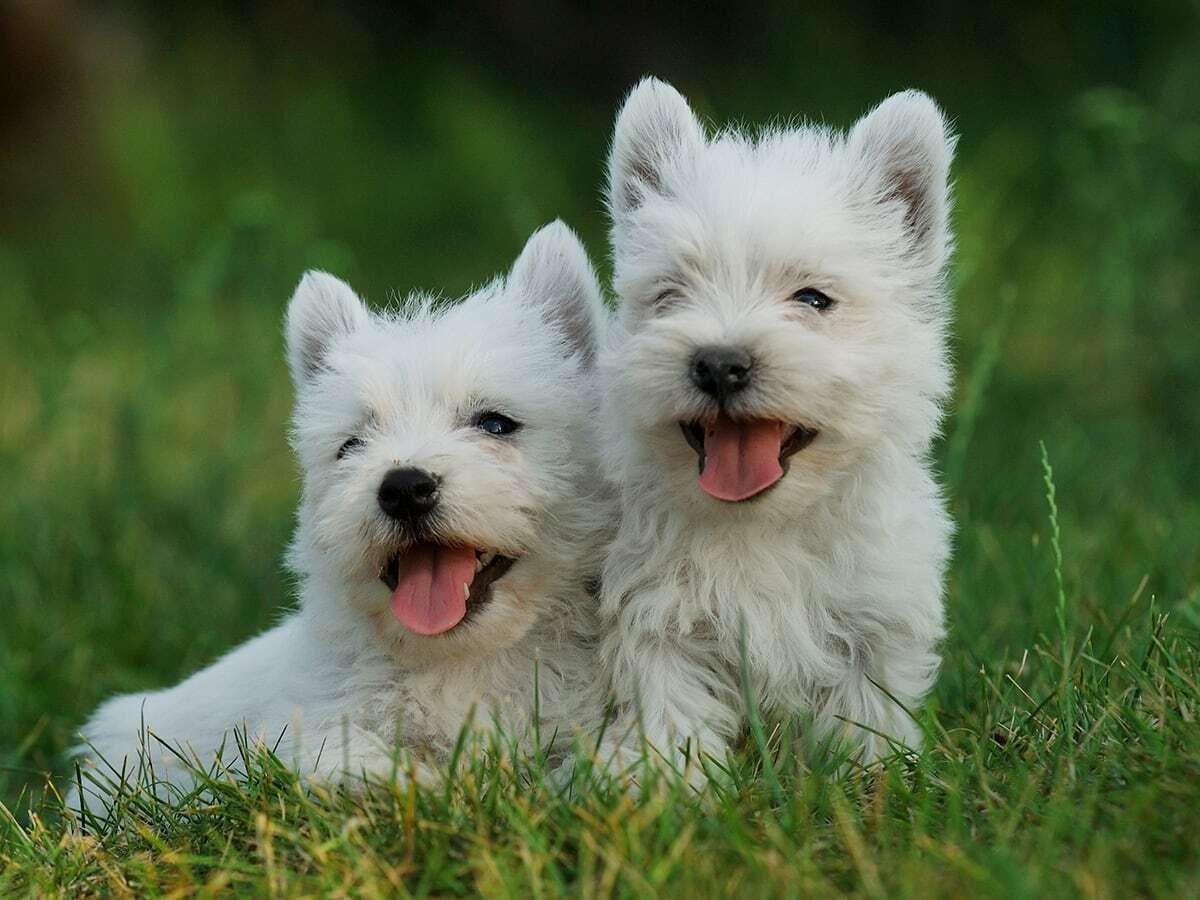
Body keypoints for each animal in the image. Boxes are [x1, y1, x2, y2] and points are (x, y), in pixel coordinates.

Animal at [75, 222, 609, 806]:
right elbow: (358, 764)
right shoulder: (314, 734)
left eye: (495, 424)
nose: (403, 489)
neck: (461, 661)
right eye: (351, 445)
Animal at [597, 79, 955, 782]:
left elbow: (864, 717)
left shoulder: (872, 622)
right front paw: (668, 788)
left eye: (813, 299)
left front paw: (871, 782)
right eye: (671, 294)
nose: (718, 364)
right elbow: (670, 712)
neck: (761, 527)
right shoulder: (656, 621)